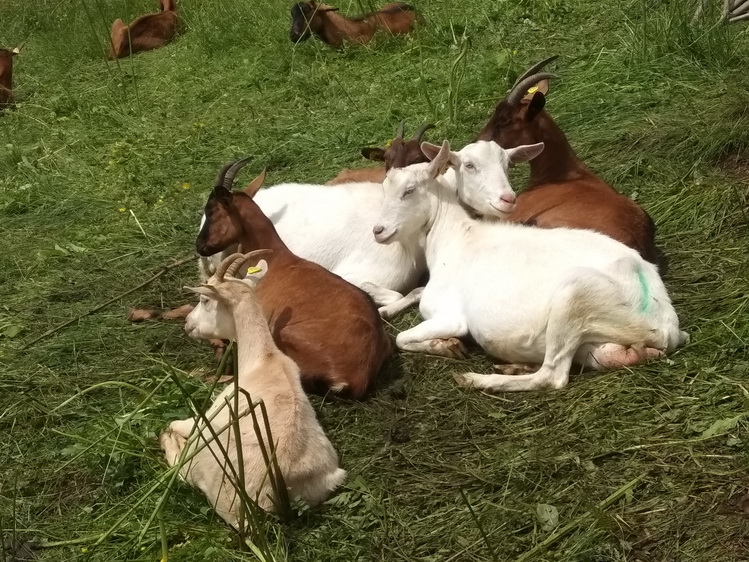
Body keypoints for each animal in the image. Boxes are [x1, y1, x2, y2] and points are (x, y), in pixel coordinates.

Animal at [161, 252, 348, 528]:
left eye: (204, 299)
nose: (187, 324)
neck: (265, 358)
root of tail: (272, 492)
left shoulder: (211, 416)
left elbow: (177, 423)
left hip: (209, 470)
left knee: (181, 469)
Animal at [372, 140, 688, 392]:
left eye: (409, 190)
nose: (378, 230)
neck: (454, 236)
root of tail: (668, 327)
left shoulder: (449, 316)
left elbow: (401, 338)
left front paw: (447, 346)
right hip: (601, 344)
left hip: (575, 296)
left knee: (552, 376)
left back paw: (480, 379)